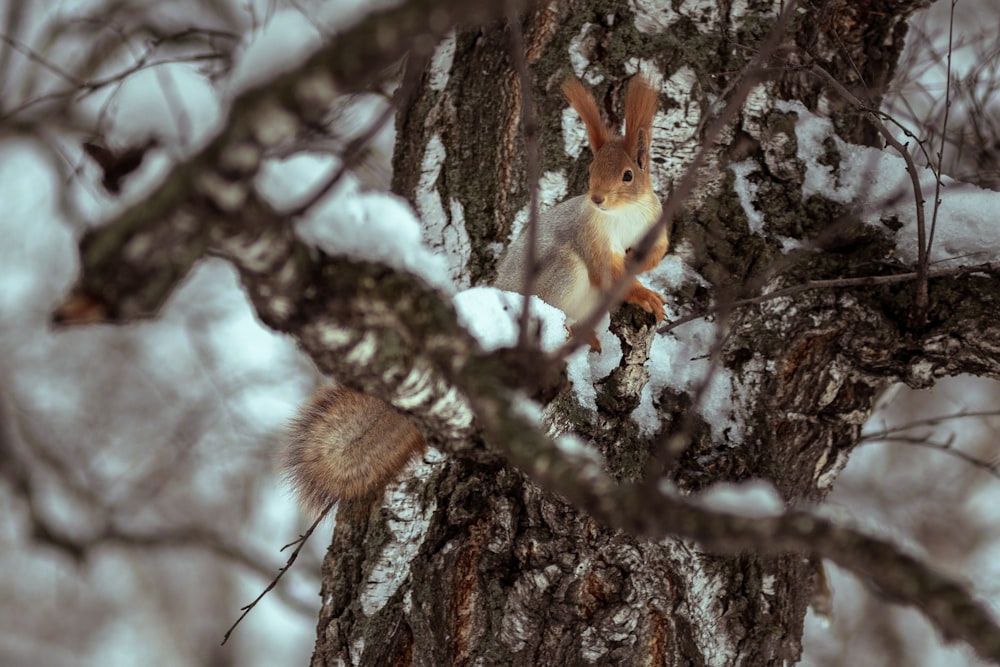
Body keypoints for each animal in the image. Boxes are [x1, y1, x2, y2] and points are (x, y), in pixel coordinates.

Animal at [286, 74, 668, 512]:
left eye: (628, 175)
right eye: (591, 169)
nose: (597, 198)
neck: (622, 216)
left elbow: (656, 254)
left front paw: (649, 275)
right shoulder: (592, 239)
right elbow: (610, 274)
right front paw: (643, 295)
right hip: (561, 271)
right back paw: (577, 334)